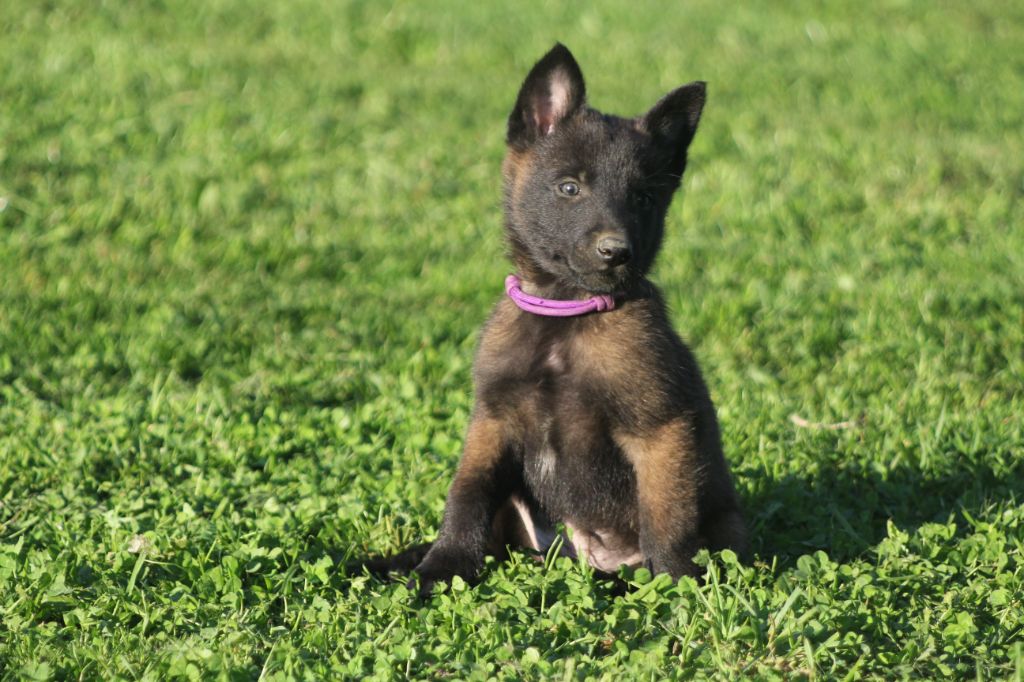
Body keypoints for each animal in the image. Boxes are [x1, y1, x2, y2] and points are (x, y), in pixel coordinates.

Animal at [364, 45, 741, 593]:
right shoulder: (492, 422)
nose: (616, 252)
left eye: (643, 198)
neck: (564, 315)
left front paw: (673, 586)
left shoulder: (660, 429)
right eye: (569, 188)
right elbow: (466, 497)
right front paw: (443, 566)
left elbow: (666, 518)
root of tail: (588, 556)